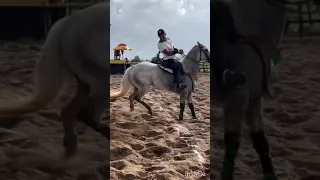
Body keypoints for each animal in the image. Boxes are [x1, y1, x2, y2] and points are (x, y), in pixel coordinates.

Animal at [0, 2, 110, 158]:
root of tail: (67, 22)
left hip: (86, 84)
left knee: (69, 111)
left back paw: (71, 155)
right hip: (101, 81)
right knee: (85, 113)